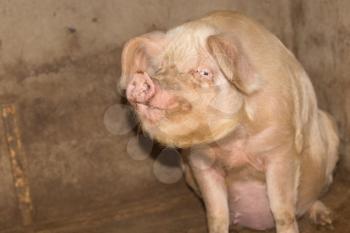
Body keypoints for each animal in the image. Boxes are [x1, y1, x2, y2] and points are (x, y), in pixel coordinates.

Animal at [118, 11, 340, 233]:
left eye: (205, 72)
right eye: (159, 69)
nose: (140, 79)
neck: (234, 141)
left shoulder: (282, 149)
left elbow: (283, 211)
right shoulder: (200, 160)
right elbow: (216, 214)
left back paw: (326, 219)